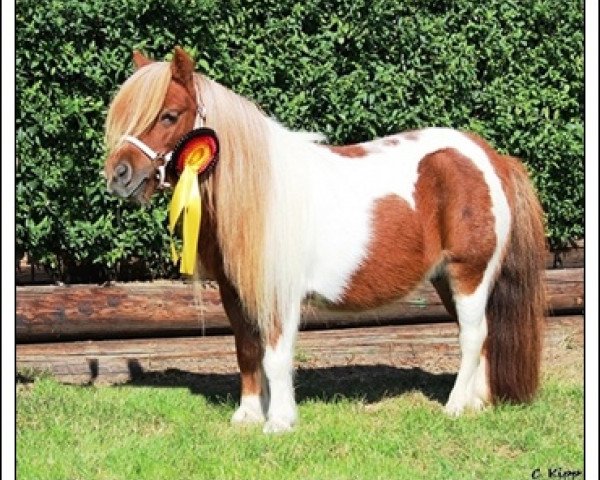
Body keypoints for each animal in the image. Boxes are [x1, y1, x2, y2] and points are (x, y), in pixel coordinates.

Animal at [104, 47, 548, 434]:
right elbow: (247, 350)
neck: (262, 191)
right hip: (446, 280)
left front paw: (280, 422)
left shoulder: (281, 294)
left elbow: (276, 356)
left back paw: (455, 407)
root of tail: (493, 158)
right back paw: (477, 403)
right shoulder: (236, 292)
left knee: (472, 336)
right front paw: (248, 416)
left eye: (169, 115)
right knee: (482, 337)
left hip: (469, 273)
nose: (118, 176)